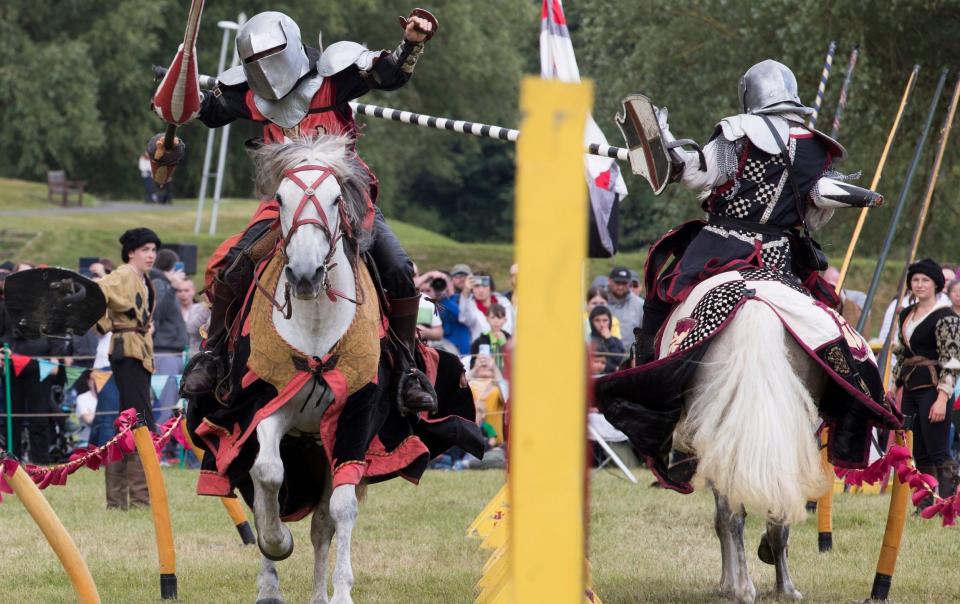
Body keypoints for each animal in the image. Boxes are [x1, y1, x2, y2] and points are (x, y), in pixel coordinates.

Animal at [248, 137, 376, 604]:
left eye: (336, 198)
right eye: (280, 199)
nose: (305, 274)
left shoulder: (355, 416)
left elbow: (341, 508)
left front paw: (341, 593)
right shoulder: (273, 406)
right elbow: (267, 473)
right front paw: (276, 541)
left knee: (324, 525)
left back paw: (320, 594)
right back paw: (269, 586)